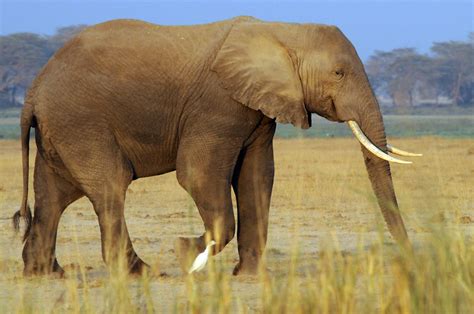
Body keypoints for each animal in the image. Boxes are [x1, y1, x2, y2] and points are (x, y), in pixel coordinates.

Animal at [12, 15, 418, 276]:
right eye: (338, 73)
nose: (409, 254)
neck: (281, 30)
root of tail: (33, 89)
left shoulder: (257, 111)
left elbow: (257, 177)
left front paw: (249, 275)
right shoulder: (216, 104)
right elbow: (198, 175)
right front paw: (185, 252)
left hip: (61, 130)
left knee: (53, 196)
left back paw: (46, 274)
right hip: (81, 123)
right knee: (109, 187)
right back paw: (140, 273)